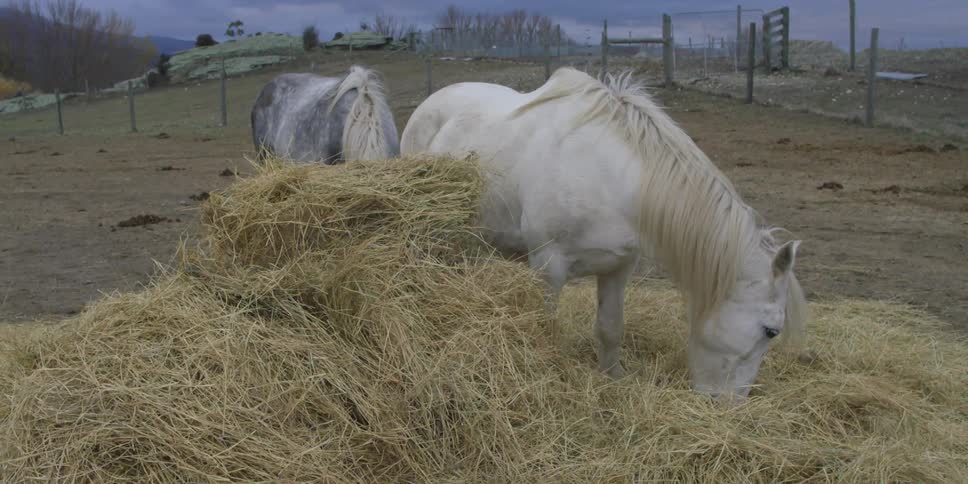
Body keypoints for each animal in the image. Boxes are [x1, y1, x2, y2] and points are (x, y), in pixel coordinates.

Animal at [400, 67, 809, 401]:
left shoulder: (618, 267)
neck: (610, 176)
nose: (729, 404)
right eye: (771, 331)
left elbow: (611, 328)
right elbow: (547, 328)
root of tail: (434, 101)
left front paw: (613, 379)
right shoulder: (548, 265)